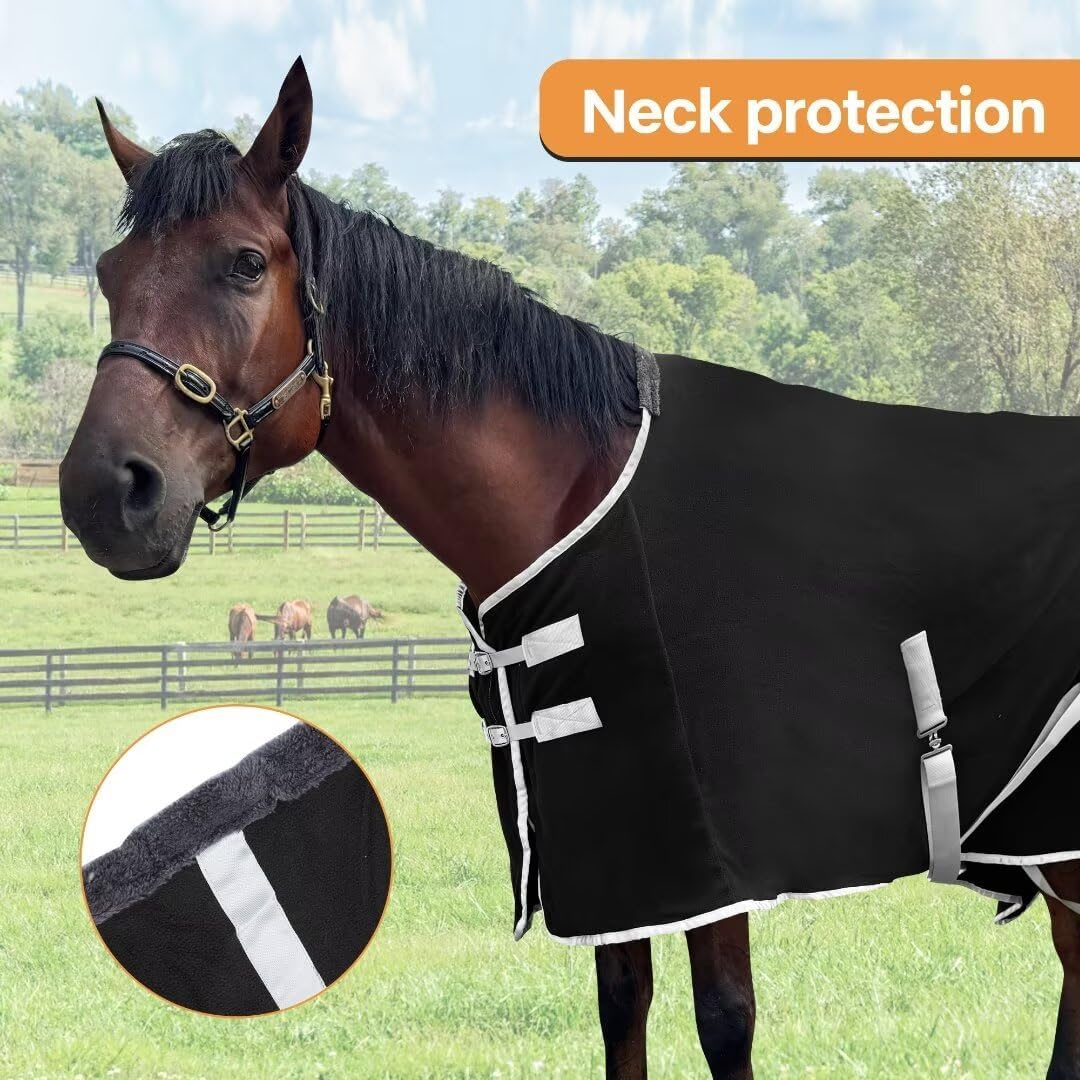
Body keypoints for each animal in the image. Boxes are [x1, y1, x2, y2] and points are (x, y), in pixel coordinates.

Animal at [56, 60, 1080, 1078]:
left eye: (243, 262)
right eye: (109, 273)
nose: (105, 494)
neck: (581, 501)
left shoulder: (697, 854)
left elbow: (725, 1020)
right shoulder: (606, 841)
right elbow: (622, 1004)